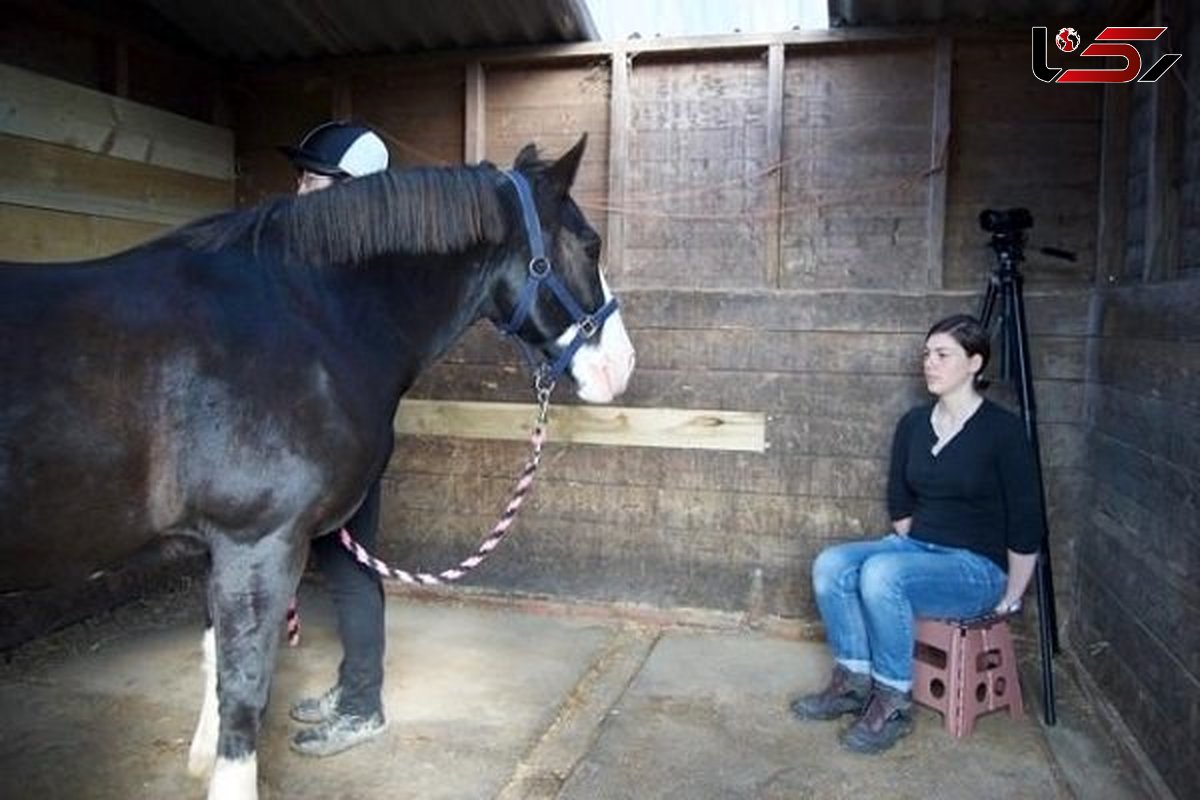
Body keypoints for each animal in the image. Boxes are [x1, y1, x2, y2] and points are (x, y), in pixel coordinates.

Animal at [0, 134, 633, 796]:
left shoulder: (222, 545)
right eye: (591, 245)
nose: (621, 366)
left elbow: (216, 656)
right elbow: (245, 689)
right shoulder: (258, 541)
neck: (303, 320)